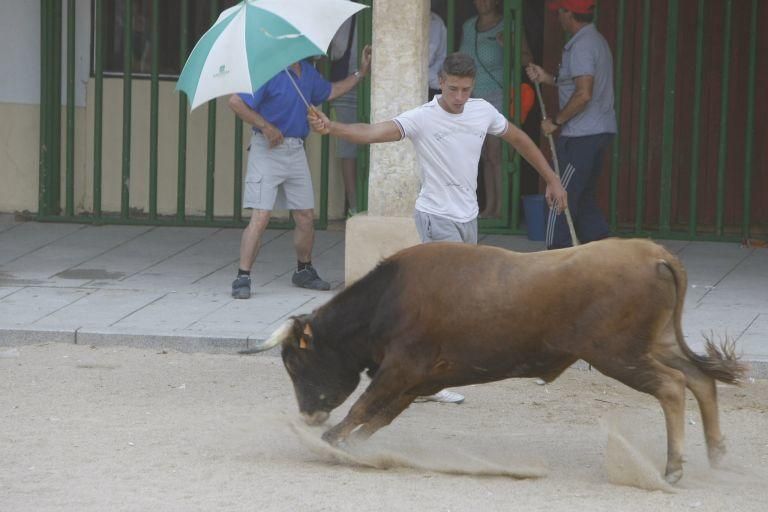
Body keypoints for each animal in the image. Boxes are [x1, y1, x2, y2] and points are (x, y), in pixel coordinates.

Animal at [250, 238, 744, 482]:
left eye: (294, 363)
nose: (308, 414)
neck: (385, 301)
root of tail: (657, 254)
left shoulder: (402, 368)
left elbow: (364, 406)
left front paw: (329, 441)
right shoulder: (417, 379)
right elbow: (378, 416)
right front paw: (348, 445)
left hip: (618, 354)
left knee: (672, 387)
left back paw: (674, 467)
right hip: (655, 344)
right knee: (700, 379)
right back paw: (718, 453)